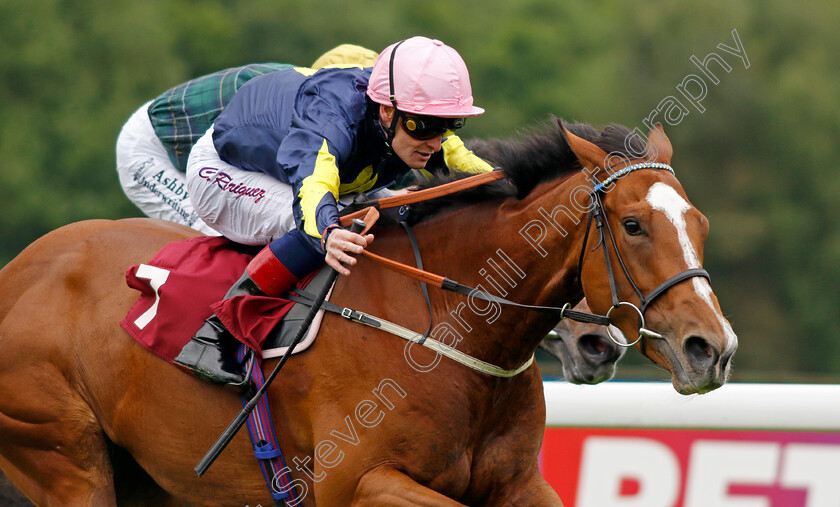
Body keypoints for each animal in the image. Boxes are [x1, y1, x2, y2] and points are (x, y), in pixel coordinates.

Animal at [0, 120, 736, 507]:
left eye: (700, 223)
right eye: (634, 226)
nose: (712, 347)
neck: (454, 330)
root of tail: (18, 270)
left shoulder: (522, 484)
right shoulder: (355, 482)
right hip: (63, 453)